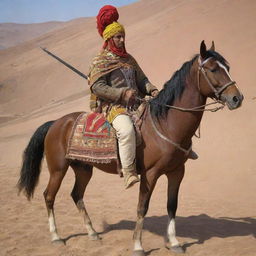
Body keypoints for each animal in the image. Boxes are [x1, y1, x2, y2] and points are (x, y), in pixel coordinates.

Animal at [18, 41, 244, 255]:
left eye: (228, 67)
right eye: (213, 69)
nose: (237, 98)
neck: (165, 123)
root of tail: (55, 123)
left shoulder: (177, 171)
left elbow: (172, 206)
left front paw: (174, 243)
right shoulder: (150, 174)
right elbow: (142, 207)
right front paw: (138, 246)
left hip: (83, 168)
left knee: (76, 195)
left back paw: (92, 233)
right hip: (58, 168)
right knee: (49, 195)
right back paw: (56, 237)